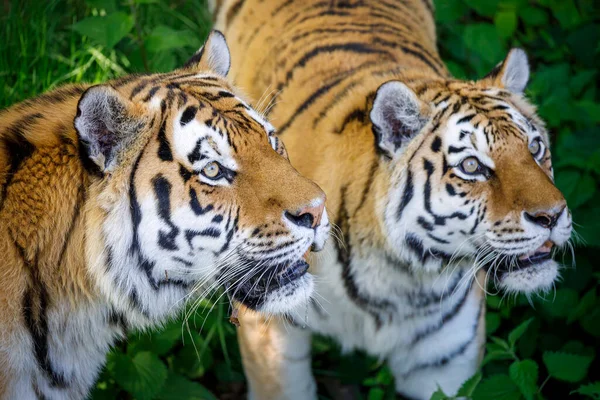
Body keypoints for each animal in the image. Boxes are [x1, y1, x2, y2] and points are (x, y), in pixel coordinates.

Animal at [213, 1, 576, 398]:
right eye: (471, 166)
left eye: (535, 147)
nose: (552, 215)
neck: (401, 281)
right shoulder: (271, 332)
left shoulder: (444, 365)